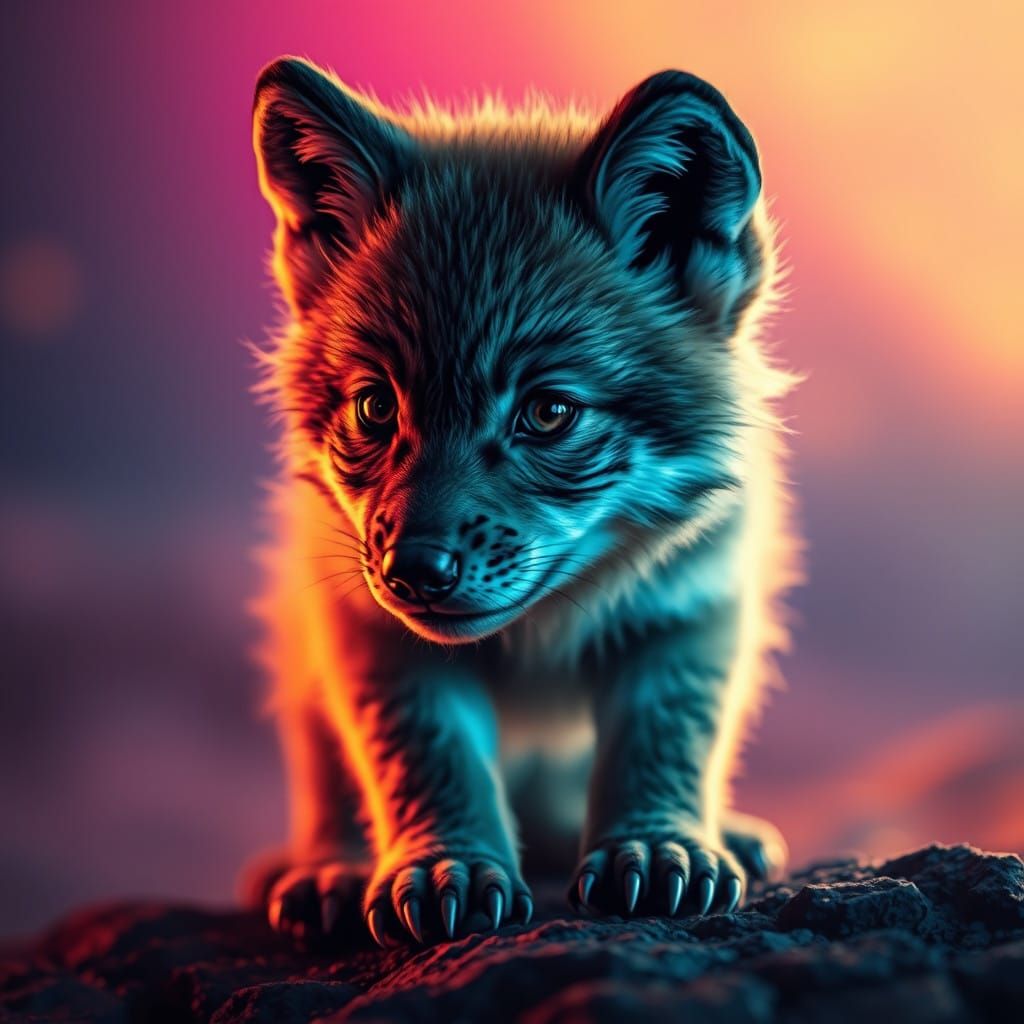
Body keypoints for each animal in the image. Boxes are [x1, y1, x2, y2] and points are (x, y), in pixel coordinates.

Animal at [246, 56, 798, 946]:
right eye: (376, 407)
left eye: (548, 412)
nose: (413, 570)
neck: (542, 634)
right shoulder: (368, 630)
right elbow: (424, 757)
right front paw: (448, 867)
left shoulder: (693, 606)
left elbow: (665, 741)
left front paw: (656, 847)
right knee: (325, 776)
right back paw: (329, 867)